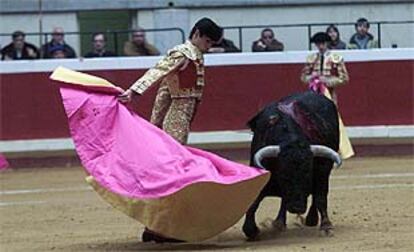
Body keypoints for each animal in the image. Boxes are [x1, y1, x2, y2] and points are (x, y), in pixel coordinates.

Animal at [244, 91, 342, 239]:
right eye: (283, 174)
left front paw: (326, 227)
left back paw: (310, 219)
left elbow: (320, 197)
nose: (297, 207)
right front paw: (252, 230)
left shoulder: (322, 170)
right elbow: (254, 198)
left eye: (308, 173)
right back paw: (279, 223)